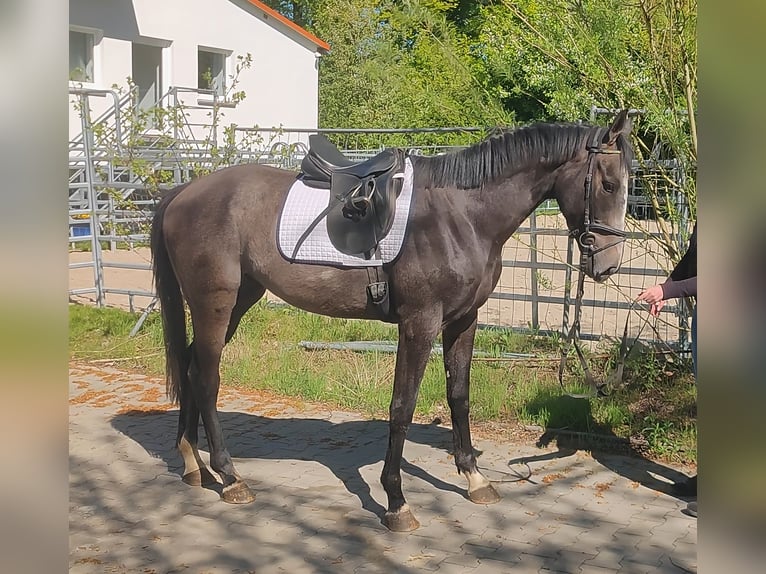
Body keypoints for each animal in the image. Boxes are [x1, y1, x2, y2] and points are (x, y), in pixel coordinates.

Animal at [150, 110, 633, 531]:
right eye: (609, 184)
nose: (608, 265)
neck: (461, 215)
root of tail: (184, 192)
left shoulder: (463, 321)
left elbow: (459, 396)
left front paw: (475, 478)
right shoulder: (419, 323)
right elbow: (402, 406)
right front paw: (397, 501)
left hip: (239, 300)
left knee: (191, 367)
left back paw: (193, 462)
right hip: (214, 304)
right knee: (207, 377)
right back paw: (231, 477)